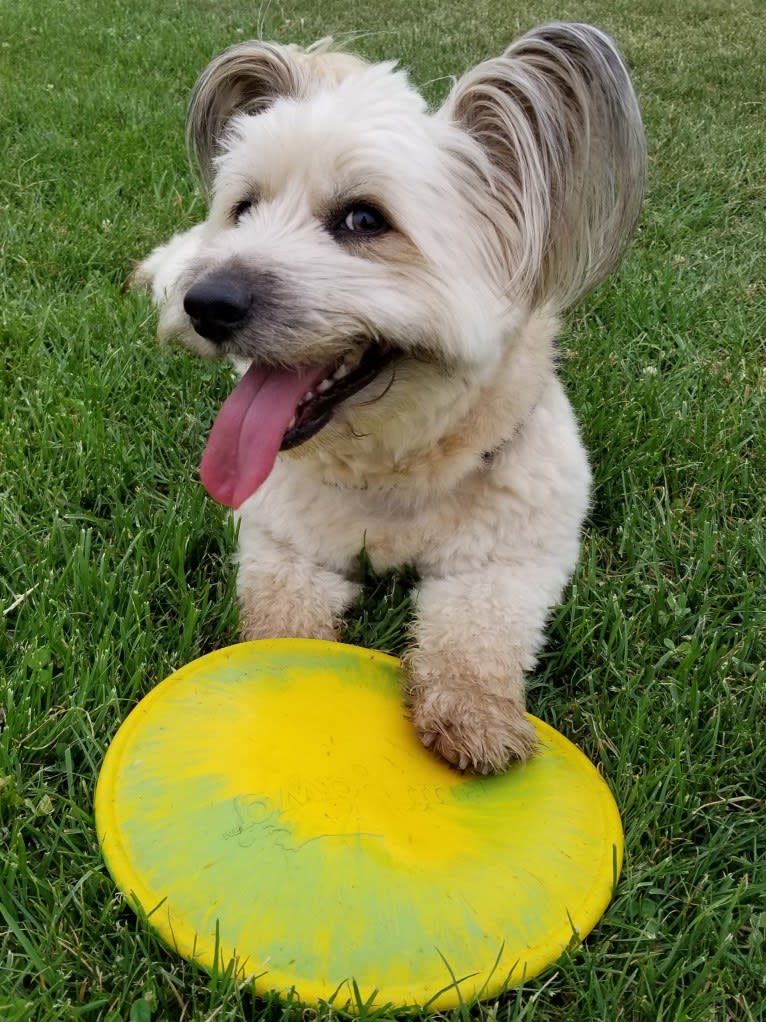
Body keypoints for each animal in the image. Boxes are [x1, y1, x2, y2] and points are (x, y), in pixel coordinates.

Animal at [137, 21, 649, 772]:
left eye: (362, 219)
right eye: (244, 207)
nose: (206, 304)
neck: (395, 469)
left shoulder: (516, 558)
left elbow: (478, 631)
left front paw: (473, 711)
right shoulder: (281, 541)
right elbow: (281, 618)